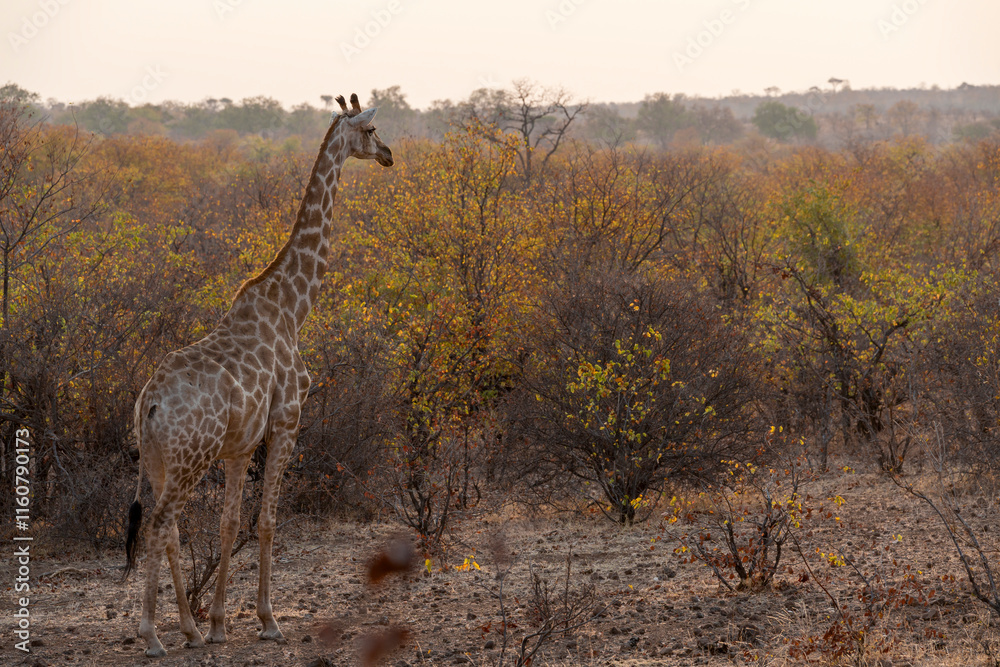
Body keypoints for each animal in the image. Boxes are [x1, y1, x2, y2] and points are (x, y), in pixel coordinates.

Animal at [123, 93, 393, 658]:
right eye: (371, 129)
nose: (388, 155)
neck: (293, 306)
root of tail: (150, 402)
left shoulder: (241, 444)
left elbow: (229, 524)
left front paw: (219, 624)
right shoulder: (288, 419)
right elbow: (267, 520)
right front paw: (268, 620)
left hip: (159, 462)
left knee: (170, 529)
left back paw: (187, 629)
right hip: (190, 458)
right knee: (160, 525)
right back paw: (152, 635)